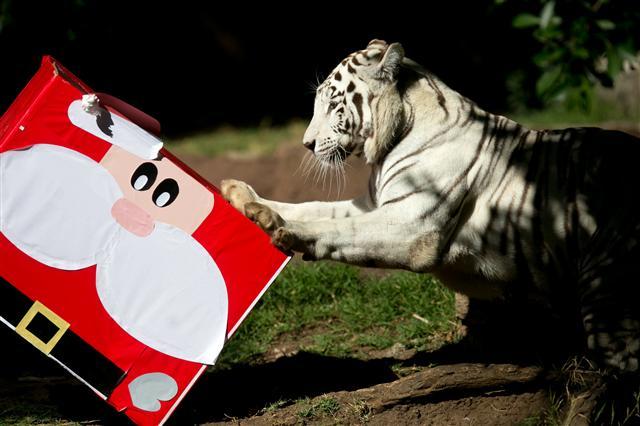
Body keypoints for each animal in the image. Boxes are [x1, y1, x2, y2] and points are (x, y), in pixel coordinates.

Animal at [221, 39, 640, 373]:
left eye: (334, 103)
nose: (307, 144)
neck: (391, 140)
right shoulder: (372, 204)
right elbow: (314, 208)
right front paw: (244, 198)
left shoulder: (412, 224)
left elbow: (338, 229)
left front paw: (281, 228)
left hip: (604, 283)